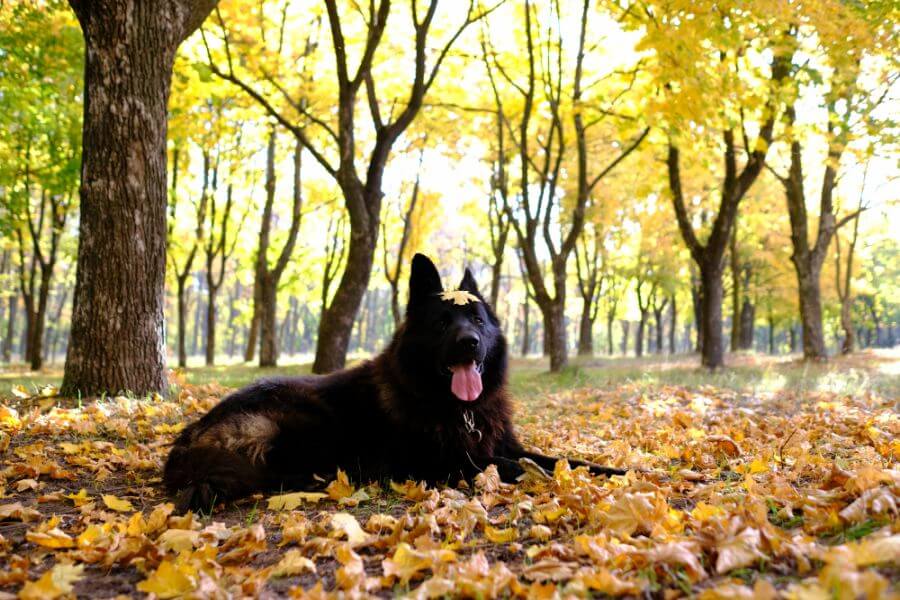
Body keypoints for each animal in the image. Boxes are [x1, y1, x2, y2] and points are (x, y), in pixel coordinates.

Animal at [163, 253, 624, 510]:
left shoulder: (501, 444)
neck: (456, 408)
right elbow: (519, 467)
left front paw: (619, 471)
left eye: (477, 320)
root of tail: (191, 436)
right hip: (310, 420)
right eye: (442, 323)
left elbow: (563, 460)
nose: (471, 343)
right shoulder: (442, 463)